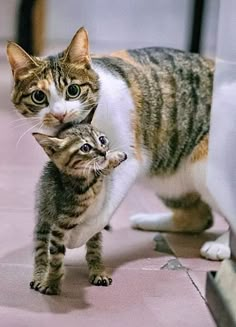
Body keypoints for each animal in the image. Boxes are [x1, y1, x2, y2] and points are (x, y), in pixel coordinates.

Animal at [6, 26, 230, 262]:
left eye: (73, 90)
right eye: (39, 96)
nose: (60, 114)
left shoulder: (128, 157)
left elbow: (106, 206)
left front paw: (78, 235)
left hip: (205, 167)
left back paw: (220, 246)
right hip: (171, 176)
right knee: (200, 217)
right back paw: (148, 221)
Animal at [30, 123, 128, 298]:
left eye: (102, 139)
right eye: (85, 147)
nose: (103, 152)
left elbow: (100, 169)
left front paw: (114, 156)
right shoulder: (60, 227)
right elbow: (55, 260)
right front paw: (51, 283)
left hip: (94, 232)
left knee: (94, 252)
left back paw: (98, 271)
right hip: (43, 224)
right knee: (41, 254)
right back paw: (40, 276)